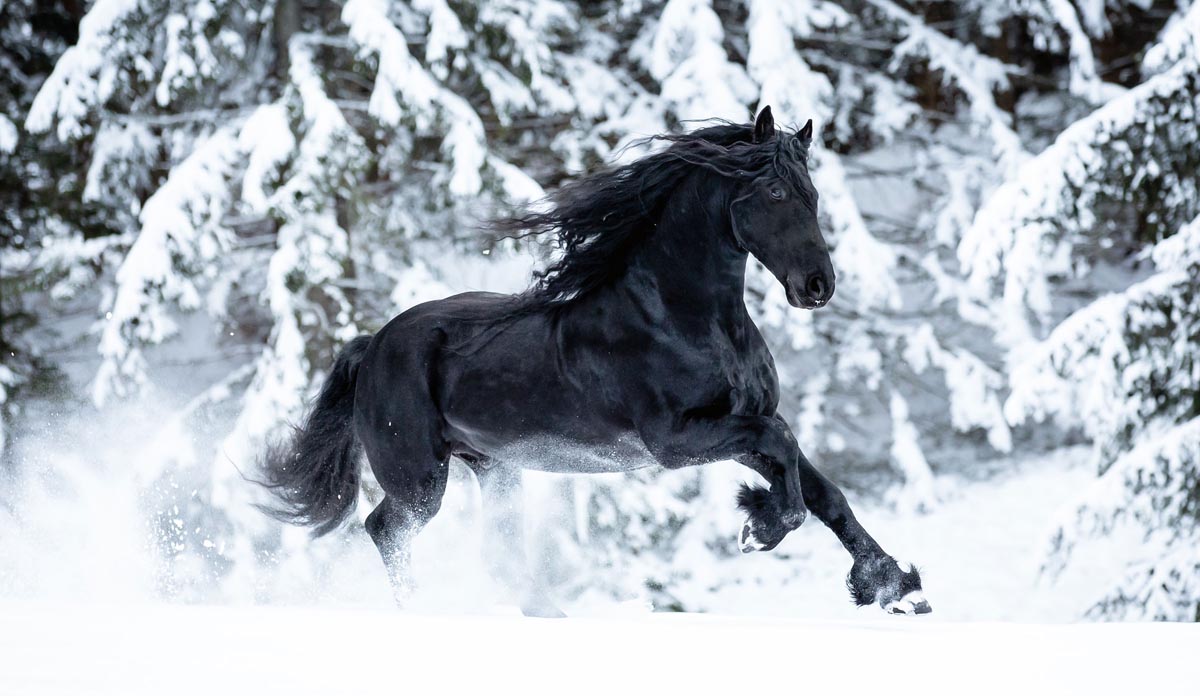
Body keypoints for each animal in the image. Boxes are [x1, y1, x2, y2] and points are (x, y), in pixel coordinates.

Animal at [262, 108, 931, 619]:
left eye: (813, 195)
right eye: (774, 192)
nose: (818, 285)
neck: (683, 319)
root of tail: (372, 345)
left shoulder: (737, 426)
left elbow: (823, 490)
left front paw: (894, 588)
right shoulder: (675, 441)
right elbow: (786, 455)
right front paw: (758, 528)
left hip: (493, 467)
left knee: (494, 545)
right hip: (420, 478)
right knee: (385, 529)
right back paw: (421, 613)